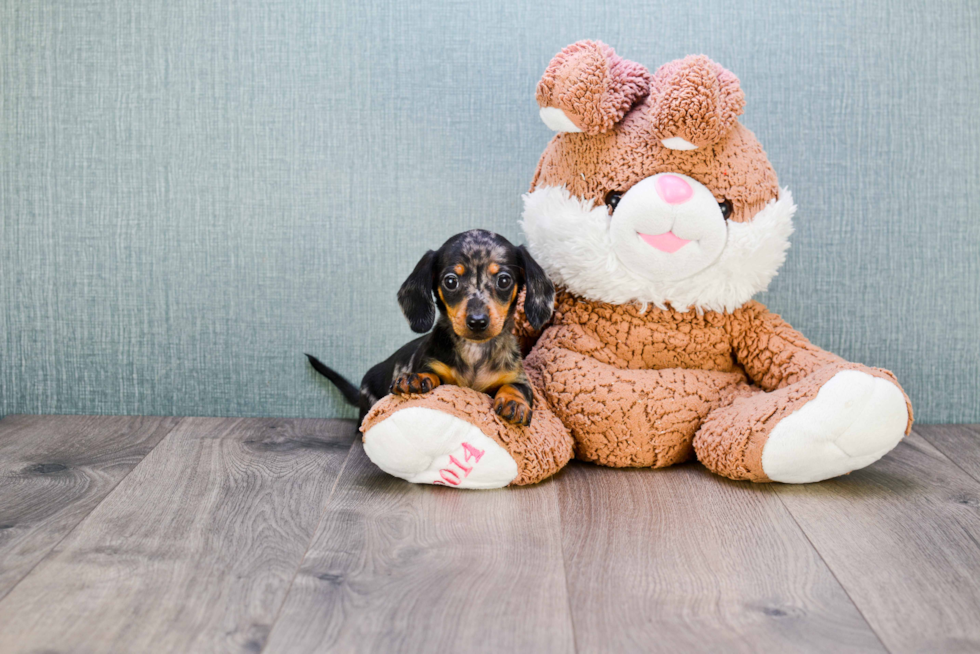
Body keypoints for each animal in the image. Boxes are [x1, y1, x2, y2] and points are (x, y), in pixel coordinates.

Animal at [302, 232, 556, 430]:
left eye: (504, 280)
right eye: (451, 281)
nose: (477, 322)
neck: (474, 353)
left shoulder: (517, 378)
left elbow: (515, 387)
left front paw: (515, 403)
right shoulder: (431, 364)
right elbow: (431, 373)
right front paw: (416, 379)